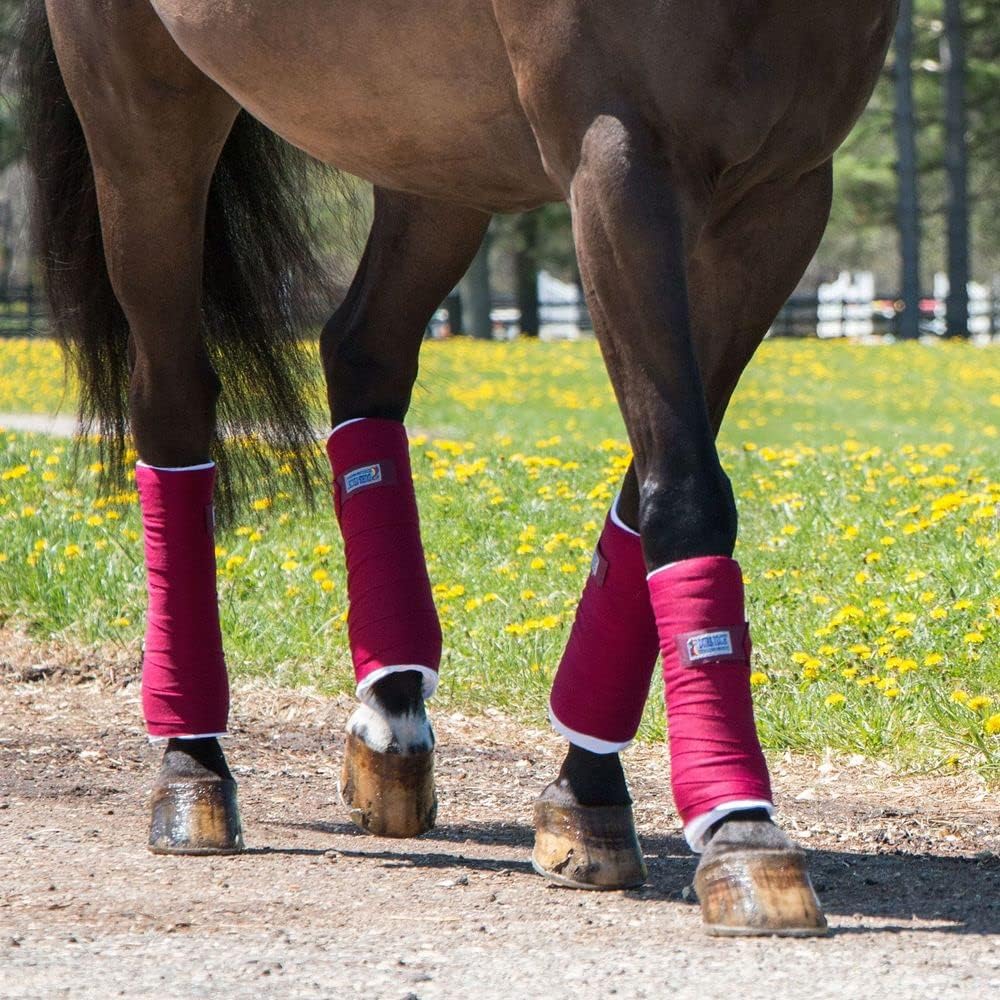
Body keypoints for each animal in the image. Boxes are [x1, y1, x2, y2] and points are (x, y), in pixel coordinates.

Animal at [16, 0, 899, 936]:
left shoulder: (780, 200)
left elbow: (648, 492)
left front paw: (585, 793)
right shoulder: (618, 163)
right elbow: (686, 491)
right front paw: (739, 824)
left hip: (425, 144)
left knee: (362, 352)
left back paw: (392, 704)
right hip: (143, 117)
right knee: (174, 404)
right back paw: (193, 766)